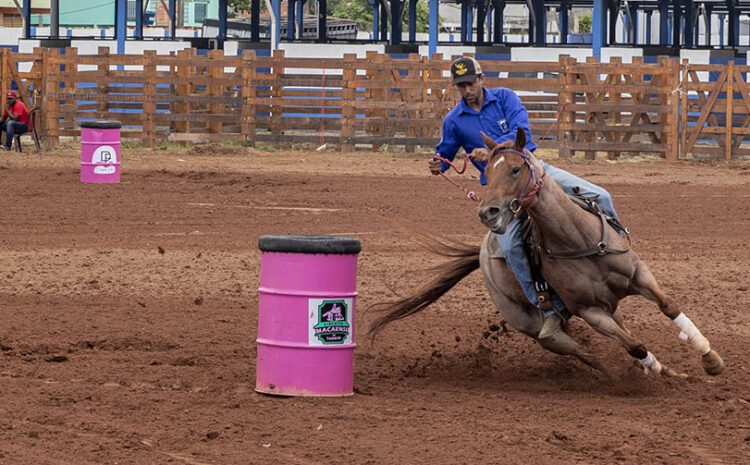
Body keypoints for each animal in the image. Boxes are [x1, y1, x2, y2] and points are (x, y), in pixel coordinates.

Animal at [370, 129, 728, 378]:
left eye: (515, 169)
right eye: (489, 170)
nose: (488, 212)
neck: (577, 240)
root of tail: (482, 253)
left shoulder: (638, 274)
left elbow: (669, 306)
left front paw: (710, 360)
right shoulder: (589, 311)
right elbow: (635, 345)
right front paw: (650, 367)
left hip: (612, 307)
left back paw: (672, 373)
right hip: (536, 326)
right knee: (582, 351)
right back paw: (629, 375)